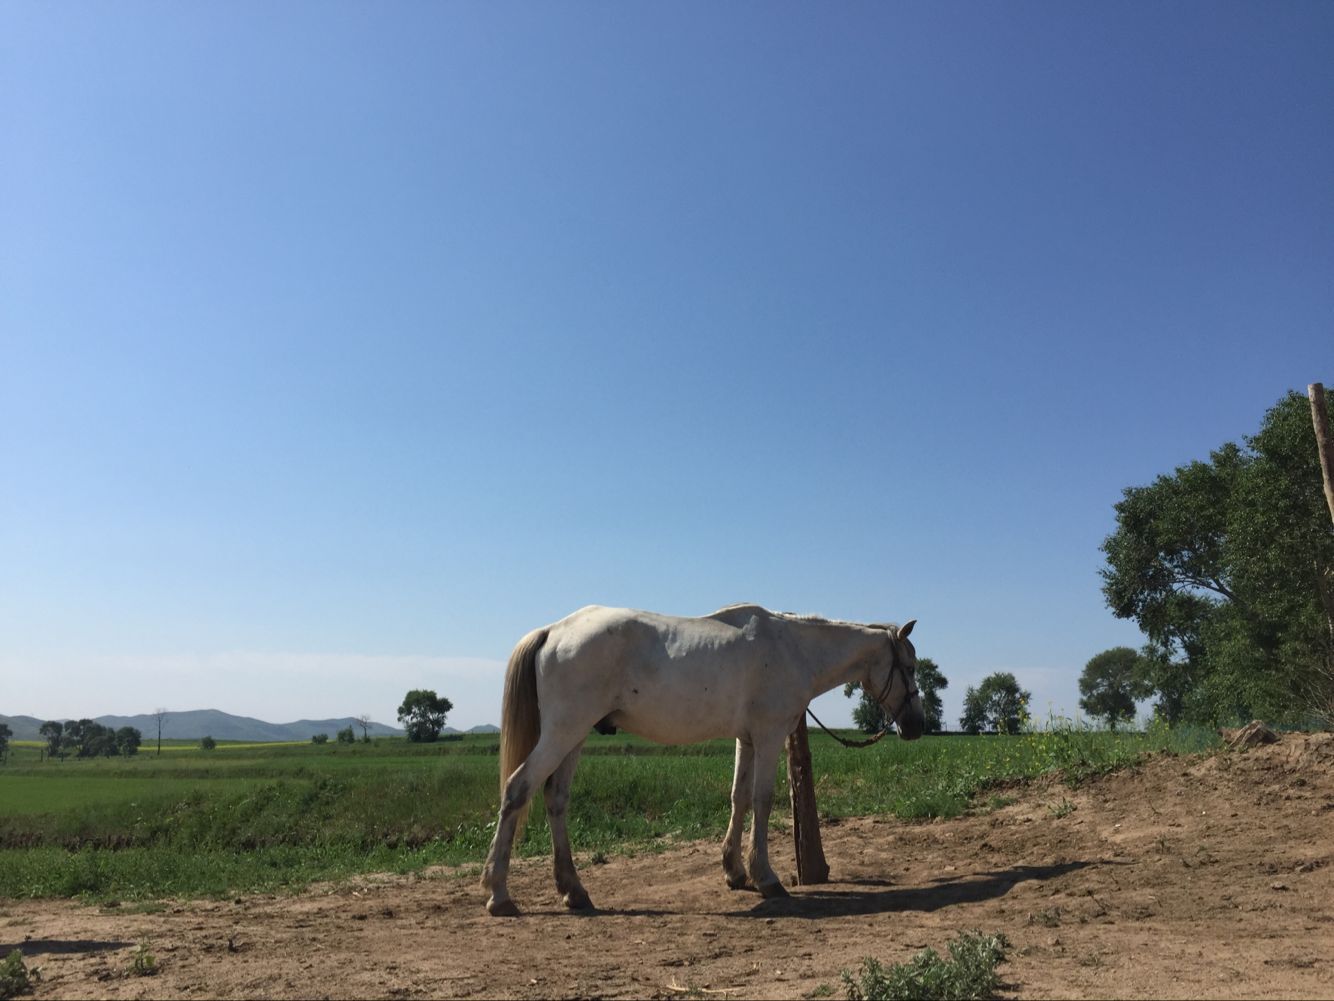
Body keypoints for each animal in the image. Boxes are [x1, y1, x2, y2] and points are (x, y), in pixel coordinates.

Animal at [482, 603, 928, 918]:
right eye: (909, 667)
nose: (916, 725)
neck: (793, 648)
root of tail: (553, 631)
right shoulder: (769, 737)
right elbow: (763, 801)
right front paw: (766, 877)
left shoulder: (746, 740)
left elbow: (739, 798)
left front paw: (735, 871)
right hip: (563, 732)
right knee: (518, 789)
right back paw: (499, 893)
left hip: (573, 737)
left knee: (556, 799)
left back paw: (573, 890)